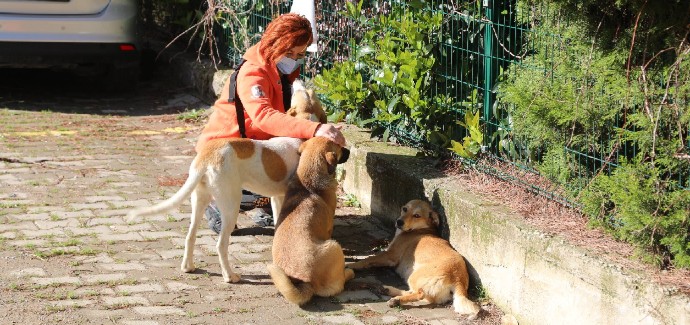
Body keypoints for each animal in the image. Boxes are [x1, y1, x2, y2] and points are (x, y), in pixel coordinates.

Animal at [128, 79, 328, 280]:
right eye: (306, 92)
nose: (298, 80)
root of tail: (207, 156)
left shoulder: (277, 198)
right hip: (232, 205)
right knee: (220, 244)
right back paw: (230, 276)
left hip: (199, 200)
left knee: (190, 236)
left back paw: (188, 267)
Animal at [266, 136, 352, 304]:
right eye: (338, 146)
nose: (349, 150)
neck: (307, 183)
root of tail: (306, 282)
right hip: (334, 246)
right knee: (339, 284)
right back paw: (350, 272)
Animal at [346, 199, 482, 318]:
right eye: (405, 209)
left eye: (417, 215)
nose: (399, 222)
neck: (421, 229)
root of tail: (458, 277)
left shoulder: (390, 255)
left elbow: (367, 260)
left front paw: (351, 265)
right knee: (423, 296)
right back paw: (389, 291)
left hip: (415, 276)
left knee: (420, 294)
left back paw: (396, 300)